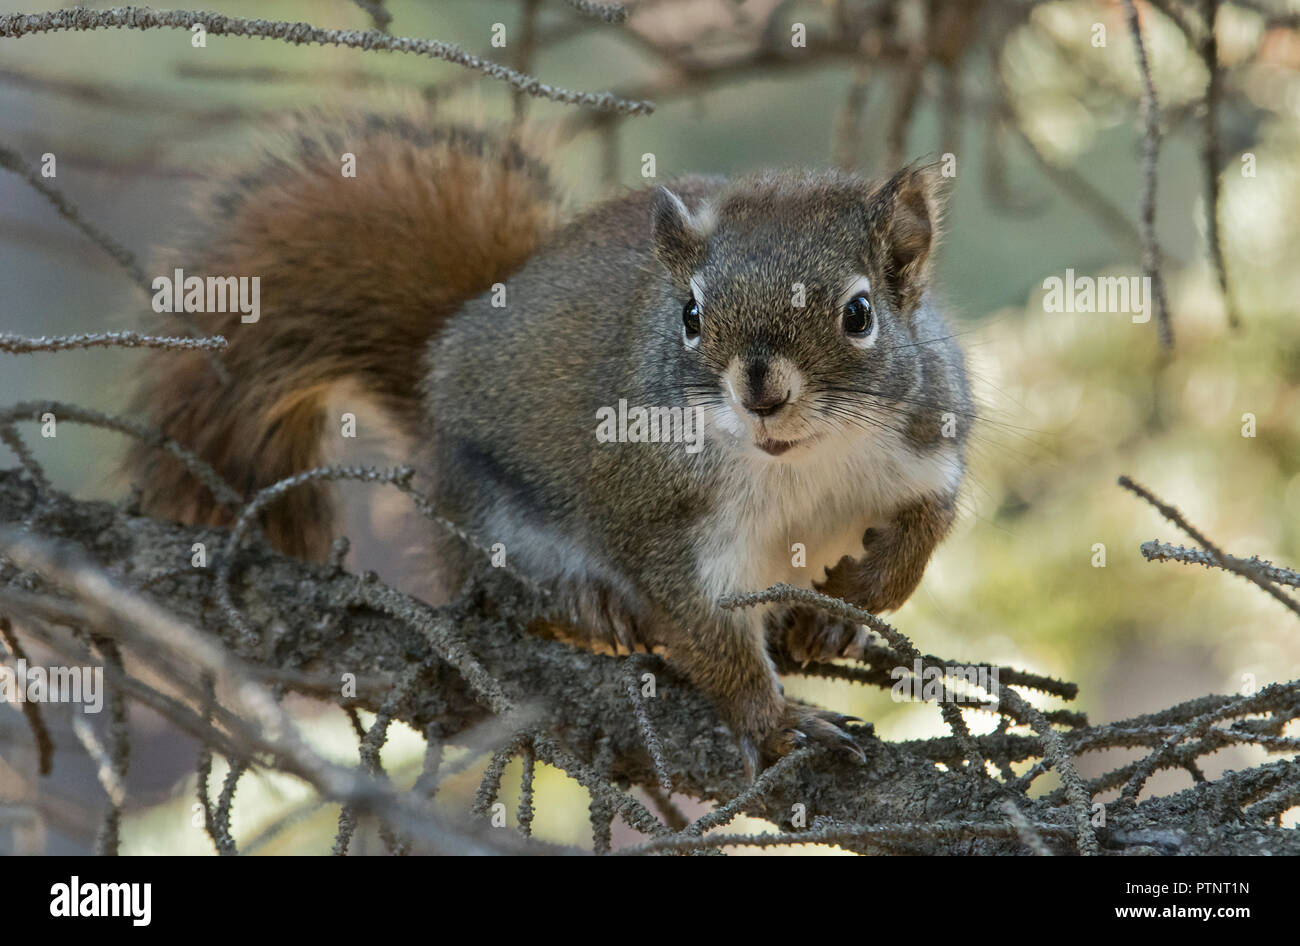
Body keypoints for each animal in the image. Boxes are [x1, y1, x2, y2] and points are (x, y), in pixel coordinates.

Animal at [126, 111, 972, 774]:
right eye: (690, 316)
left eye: (859, 314)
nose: (760, 391)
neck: (804, 461)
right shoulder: (662, 519)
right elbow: (706, 633)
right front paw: (776, 725)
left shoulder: (931, 440)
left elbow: (924, 532)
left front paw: (853, 597)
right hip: (492, 518)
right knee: (500, 591)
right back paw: (586, 603)